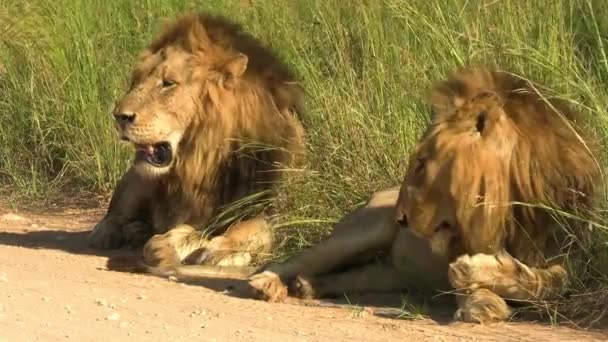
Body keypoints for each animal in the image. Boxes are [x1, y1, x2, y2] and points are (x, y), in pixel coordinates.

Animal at [88, 12, 306, 276]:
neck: (210, 157)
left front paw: (221, 251)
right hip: (136, 181)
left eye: (168, 83)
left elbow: (250, 229)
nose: (119, 116)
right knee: (113, 217)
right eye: (136, 81)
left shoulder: (273, 209)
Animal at [248, 66, 604, 324]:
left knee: (352, 275)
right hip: (361, 234)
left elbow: (550, 284)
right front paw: (481, 297)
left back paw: (306, 286)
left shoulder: (567, 257)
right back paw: (267, 282)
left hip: (390, 273)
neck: (515, 210)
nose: (401, 219)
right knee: (296, 258)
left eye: (421, 162)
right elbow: (473, 284)